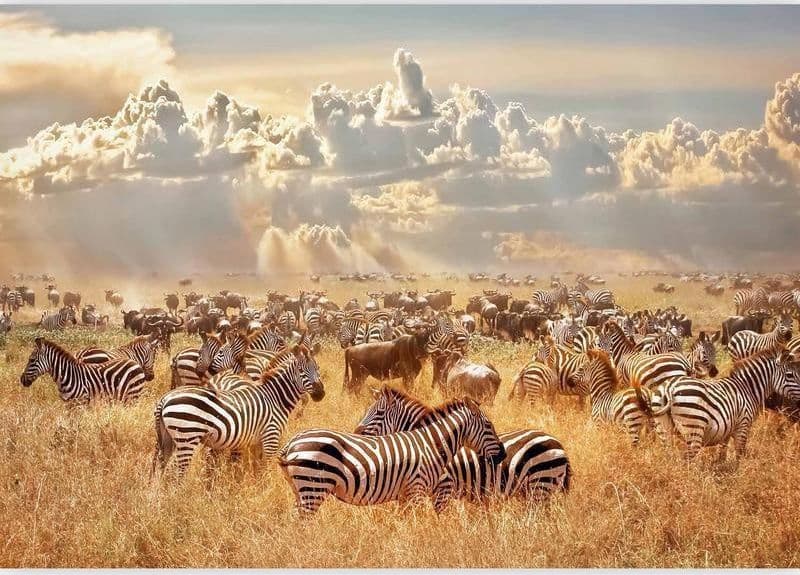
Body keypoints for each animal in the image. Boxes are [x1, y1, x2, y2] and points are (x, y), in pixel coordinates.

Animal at [151, 343, 325, 479]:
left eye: (317, 368)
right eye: (301, 370)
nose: (320, 394)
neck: (275, 397)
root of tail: (165, 398)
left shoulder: (257, 441)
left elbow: (257, 467)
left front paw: (254, 485)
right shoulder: (271, 436)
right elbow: (266, 467)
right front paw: (264, 487)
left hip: (169, 439)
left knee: (162, 465)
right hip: (187, 436)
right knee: (177, 471)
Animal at [278, 397, 505, 514]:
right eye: (489, 426)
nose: (503, 455)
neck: (431, 444)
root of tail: (291, 443)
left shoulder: (407, 494)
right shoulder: (418, 489)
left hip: (301, 489)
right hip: (313, 486)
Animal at [648, 349, 800, 461]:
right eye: (789, 375)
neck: (747, 388)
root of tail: (669, 388)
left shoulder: (727, 428)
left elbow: (722, 453)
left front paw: (722, 471)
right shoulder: (743, 425)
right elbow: (740, 453)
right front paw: (737, 475)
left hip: (663, 428)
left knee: (670, 456)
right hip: (694, 428)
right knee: (687, 460)